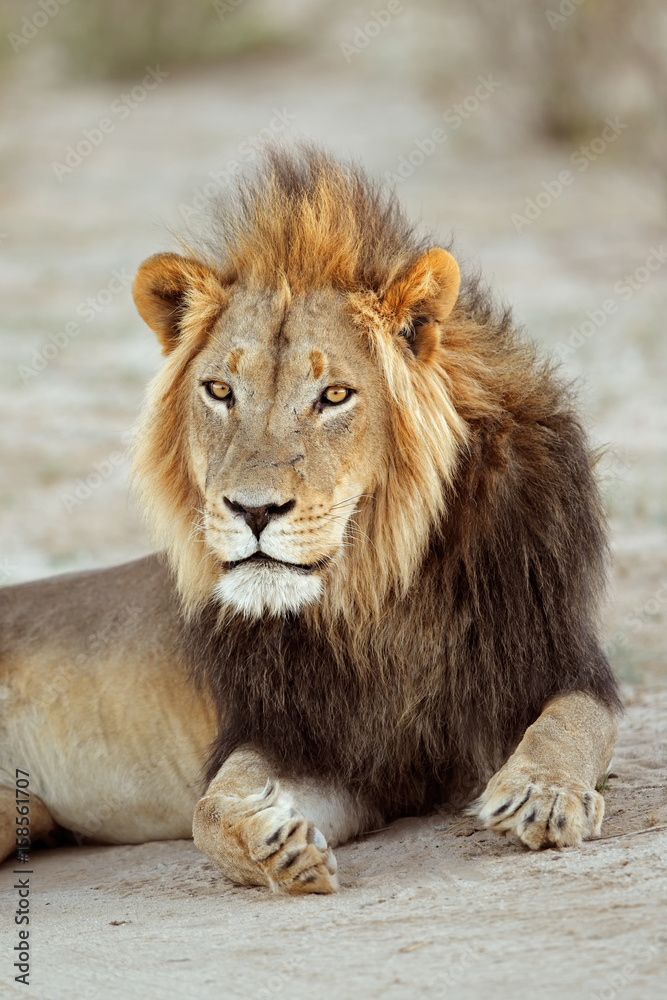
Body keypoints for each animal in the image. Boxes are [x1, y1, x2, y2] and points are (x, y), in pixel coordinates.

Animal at [0, 146, 620, 892]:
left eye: (334, 396)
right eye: (219, 390)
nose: (253, 509)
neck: (378, 591)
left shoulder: (557, 660)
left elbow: (572, 723)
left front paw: (541, 794)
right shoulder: (305, 740)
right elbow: (210, 808)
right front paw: (271, 839)